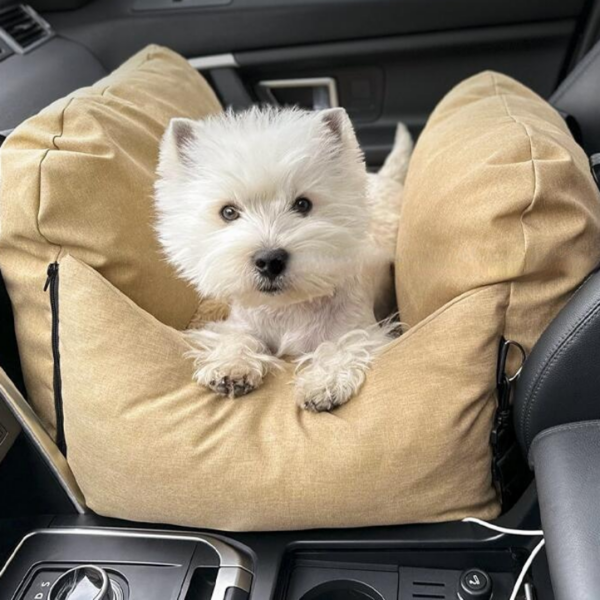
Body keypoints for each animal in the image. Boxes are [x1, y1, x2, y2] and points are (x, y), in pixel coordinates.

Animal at [152, 105, 410, 410]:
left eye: (303, 204)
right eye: (228, 212)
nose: (269, 261)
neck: (287, 307)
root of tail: (383, 177)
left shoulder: (362, 329)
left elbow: (342, 346)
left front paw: (323, 383)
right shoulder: (240, 323)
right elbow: (237, 338)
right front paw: (230, 367)